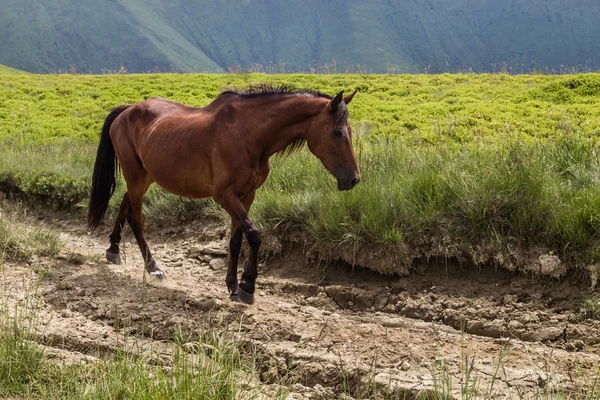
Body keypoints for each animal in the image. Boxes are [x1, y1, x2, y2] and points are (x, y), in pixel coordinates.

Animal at [88, 83, 360, 304]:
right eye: (336, 132)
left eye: (349, 131)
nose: (354, 179)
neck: (248, 134)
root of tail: (127, 110)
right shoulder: (224, 195)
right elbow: (254, 234)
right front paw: (247, 286)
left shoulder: (247, 195)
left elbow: (236, 239)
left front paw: (232, 285)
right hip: (135, 175)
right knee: (136, 219)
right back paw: (154, 269)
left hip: (145, 176)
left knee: (126, 203)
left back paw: (113, 249)